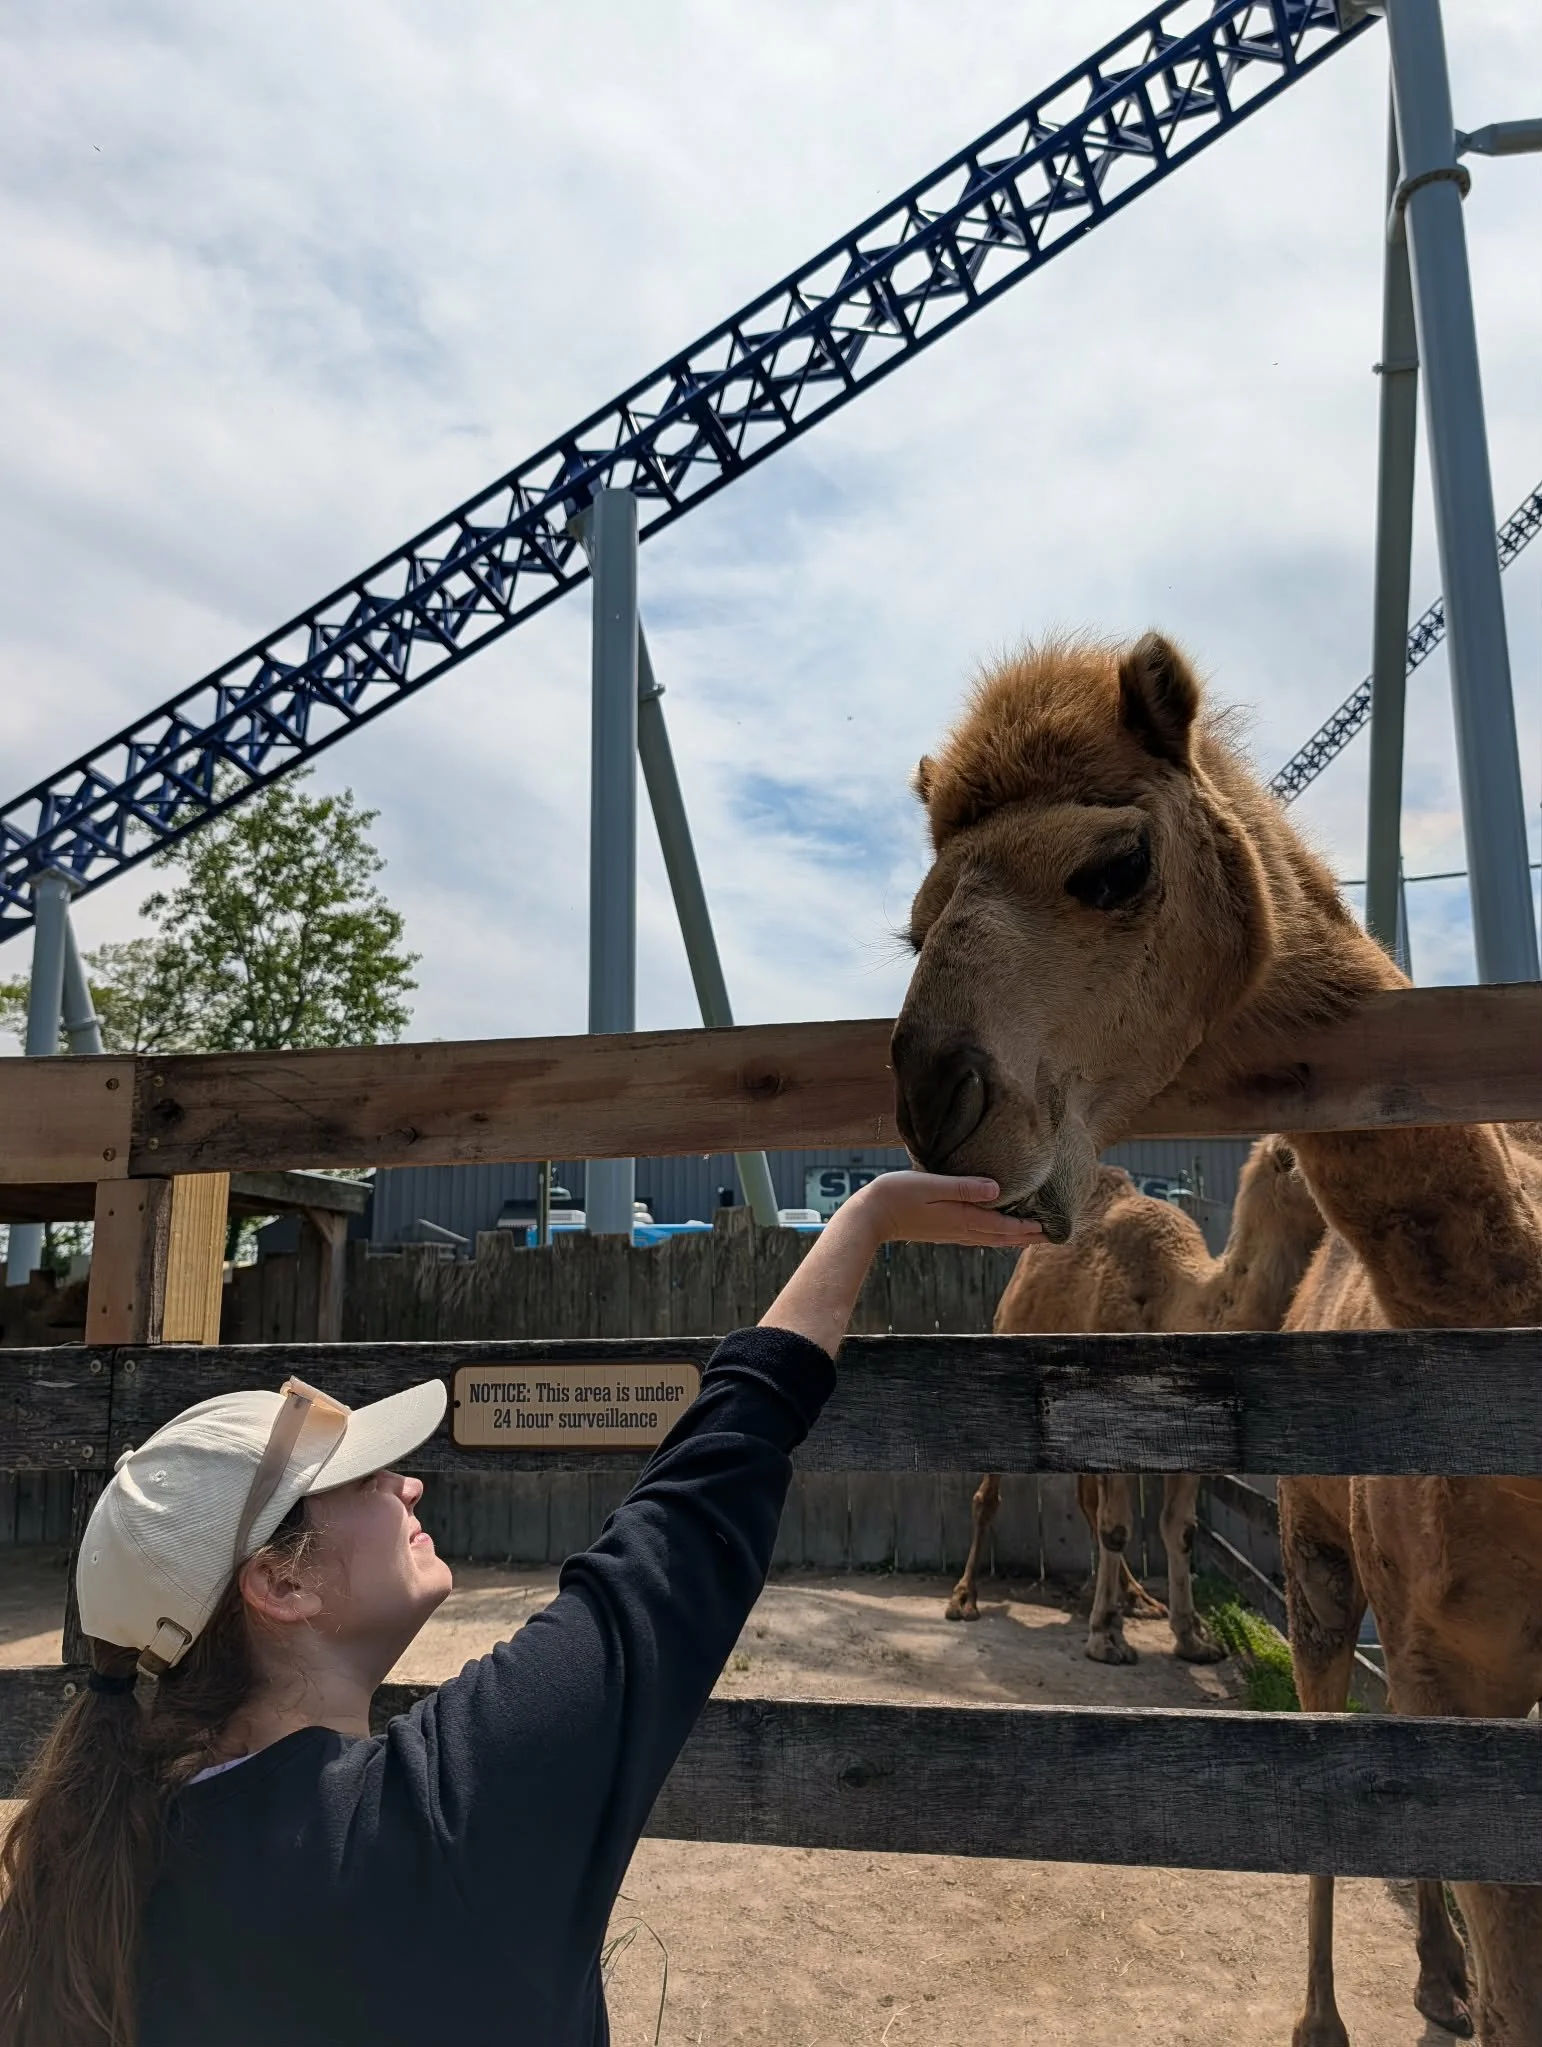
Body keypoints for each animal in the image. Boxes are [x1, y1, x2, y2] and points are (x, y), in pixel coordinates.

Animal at [946, 1133, 1325, 1671]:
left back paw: (1137, 1597)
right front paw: (1106, 1638)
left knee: (1088, 1501)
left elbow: (1178, 1529)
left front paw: (1193, 1638)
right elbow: (1118, 1527)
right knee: (991, 1496)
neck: (1174, 1307)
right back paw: (964, 1599)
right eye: (1291, 1158)